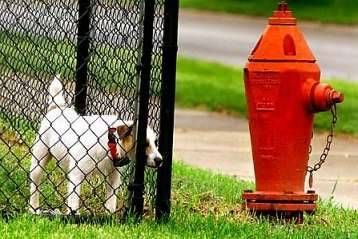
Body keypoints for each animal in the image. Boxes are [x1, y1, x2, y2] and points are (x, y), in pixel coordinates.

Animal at [28, 76, 163, 215]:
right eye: (144, 143)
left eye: (155, 143)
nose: (160, 160)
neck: (110, 143)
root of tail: (57, 108)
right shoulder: (76, 174)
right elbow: (74, 201)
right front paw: (73, 216)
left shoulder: (113, 178)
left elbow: (111, 202)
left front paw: (109, 216)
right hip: (39, 160)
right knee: (35, 185)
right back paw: (34, 208)